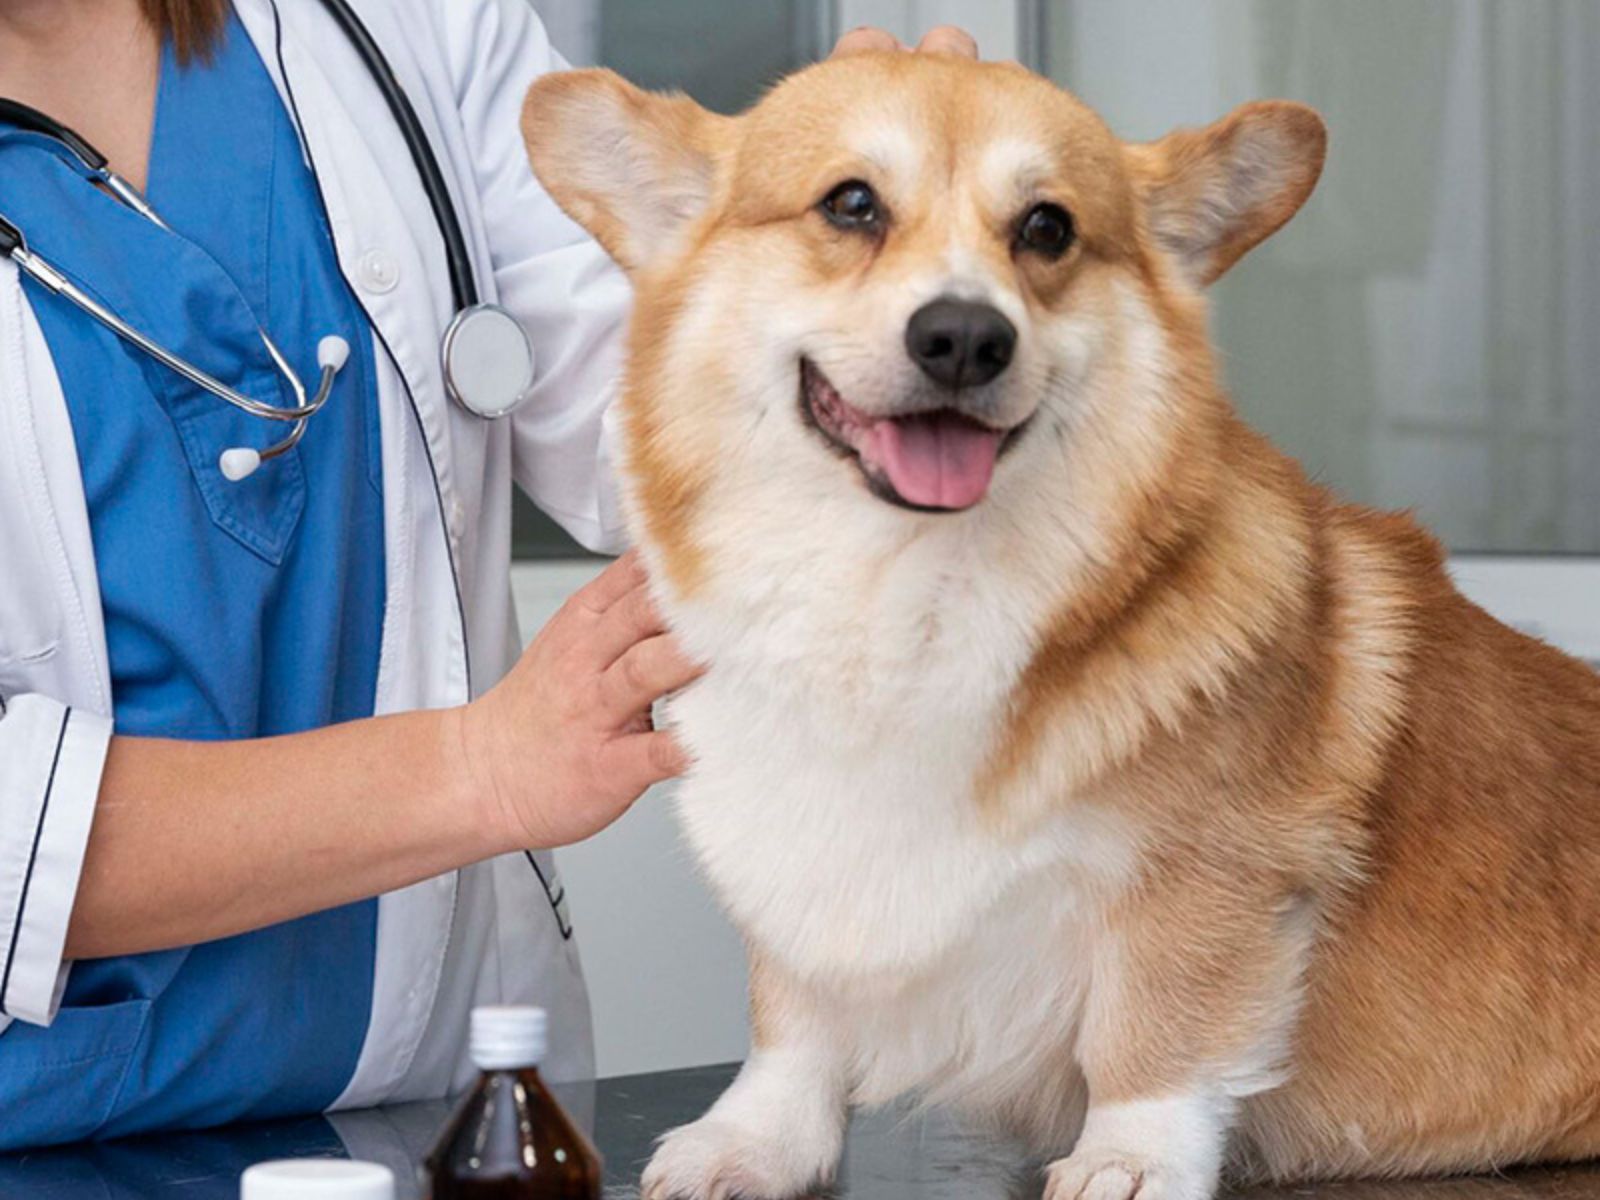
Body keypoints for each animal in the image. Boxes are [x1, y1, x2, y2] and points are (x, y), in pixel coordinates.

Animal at [518, 49, 1593, 1200]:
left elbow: (1156, 1028)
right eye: (851, 204)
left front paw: (1129, 1159)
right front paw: (756, 1140)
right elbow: (792, 1016)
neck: (909, 594)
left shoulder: (1205, 873)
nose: (963, 337)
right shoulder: (801, 862)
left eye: (1046, 228)